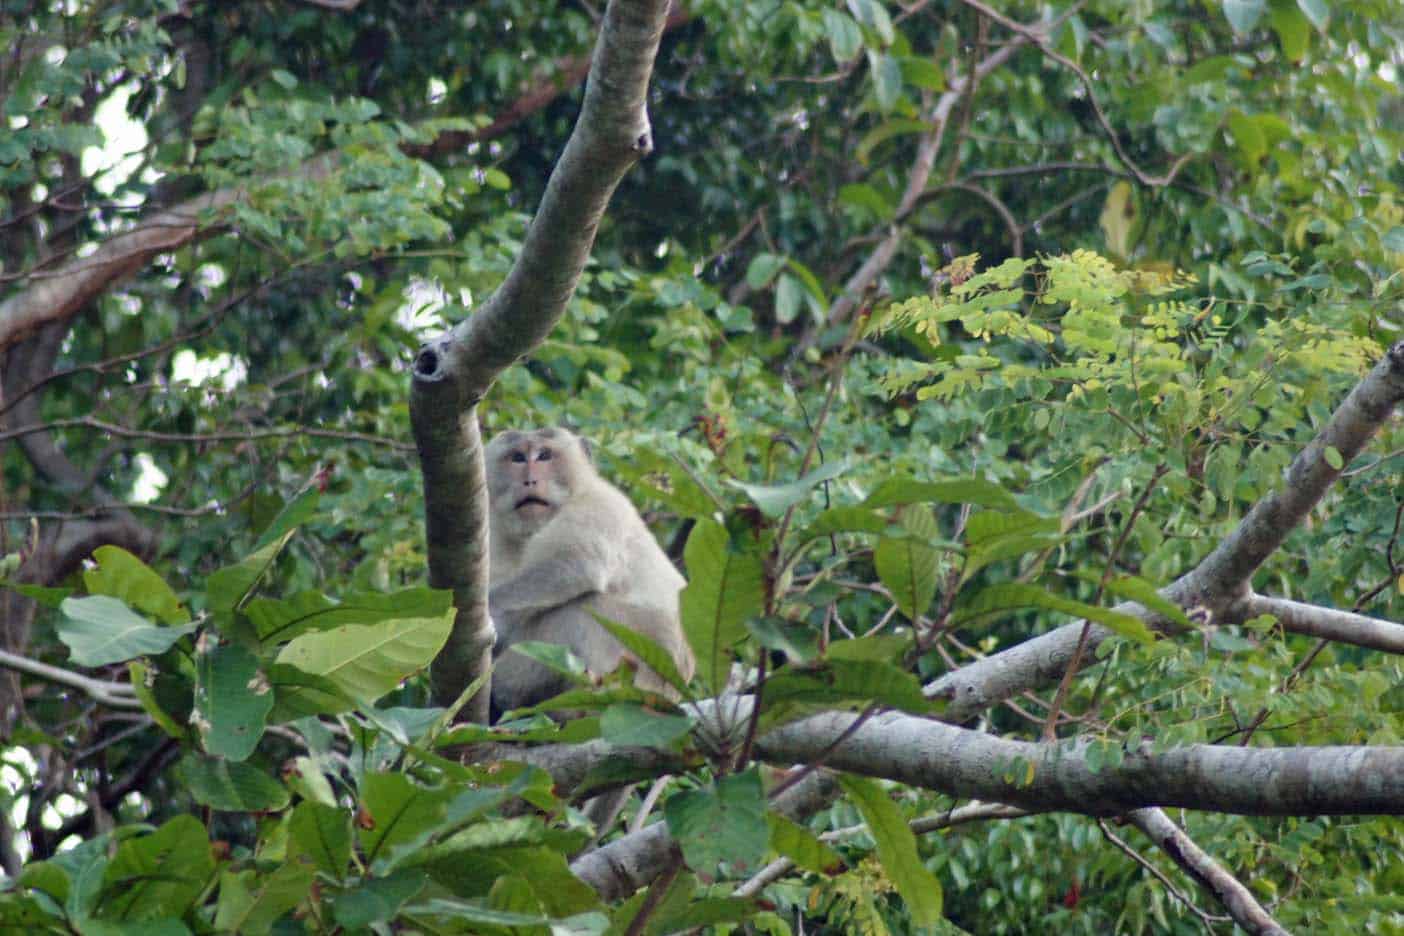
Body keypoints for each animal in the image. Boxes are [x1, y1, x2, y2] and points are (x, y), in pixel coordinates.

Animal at [488, 426, 696, 718]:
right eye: (517, 457)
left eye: (545, 455)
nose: (530, 481)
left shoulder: (600, 504)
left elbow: (577, 562)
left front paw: (492, 614)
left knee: (585, 608)